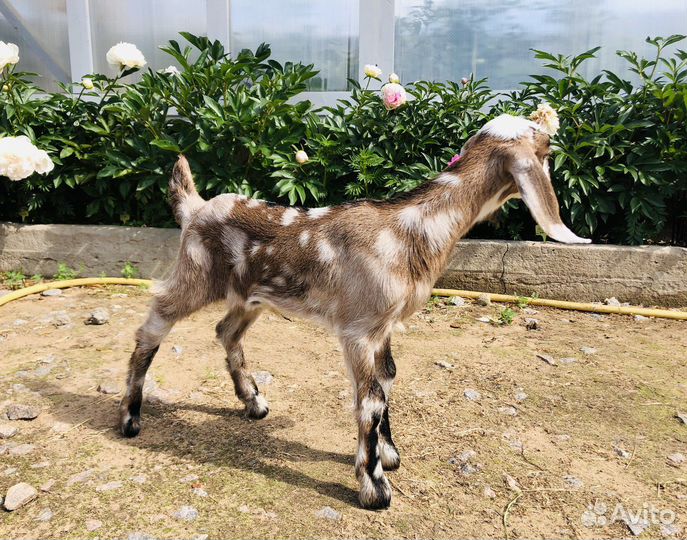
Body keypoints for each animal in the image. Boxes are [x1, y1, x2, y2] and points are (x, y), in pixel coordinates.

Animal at [119, 113, 590, 510]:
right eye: (547, 146)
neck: (409, 229)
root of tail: (195, 208)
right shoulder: (358, 330)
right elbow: (371, 399)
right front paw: (375, 487)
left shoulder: (383, 328)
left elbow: (389, 379)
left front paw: (389, 453)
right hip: (194, 276)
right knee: (153, 325)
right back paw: (130, 416)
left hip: (250, 297)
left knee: (226, 331)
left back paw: (253, 402)